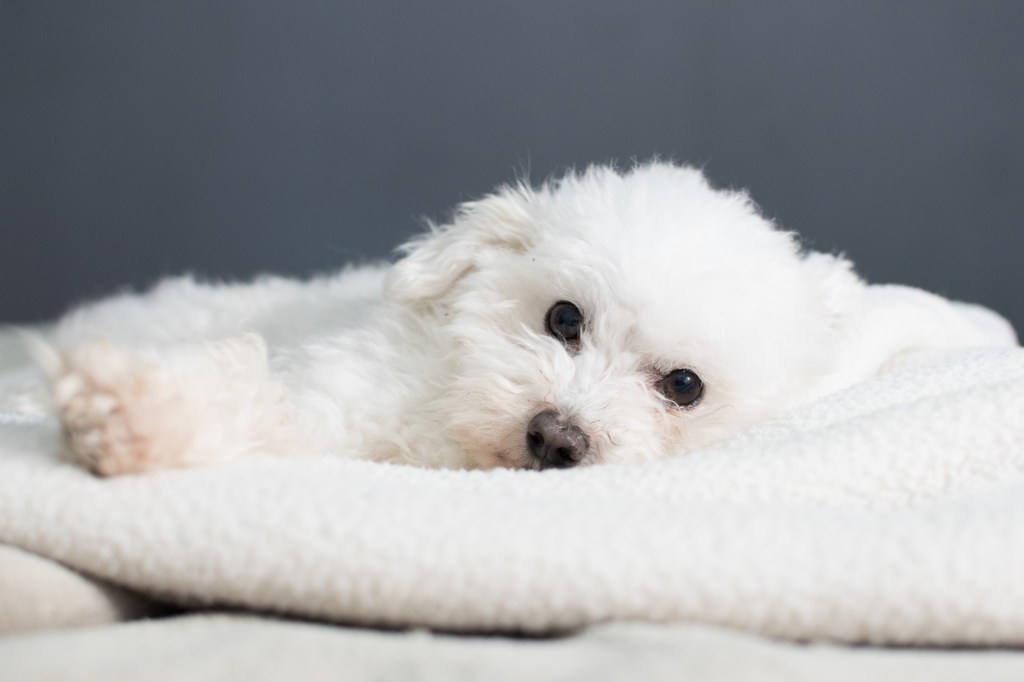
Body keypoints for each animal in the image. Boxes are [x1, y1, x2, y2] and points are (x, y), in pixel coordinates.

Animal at [46, 162, 1015, 475]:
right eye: (563, 319)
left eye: (684, 385)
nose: (556, 437)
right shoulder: (341, 394)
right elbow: (249, 403)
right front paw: (127, 414)